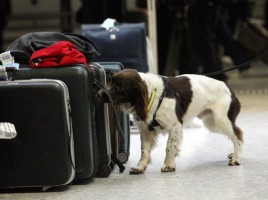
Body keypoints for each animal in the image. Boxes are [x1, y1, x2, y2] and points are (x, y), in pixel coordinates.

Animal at [98, 69, 243, 175]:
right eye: (110, 83)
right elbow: (144, 151)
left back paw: (236, 158)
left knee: (238, 136)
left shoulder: (175, 126)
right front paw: (140, 167)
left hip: (221, 121)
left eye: (120, 87)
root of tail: (229, 89)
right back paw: (234, 155)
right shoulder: (146, 131)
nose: (99, 94)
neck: (152, 95)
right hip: (211, 123)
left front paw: (168, 165)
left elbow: (170, 147)